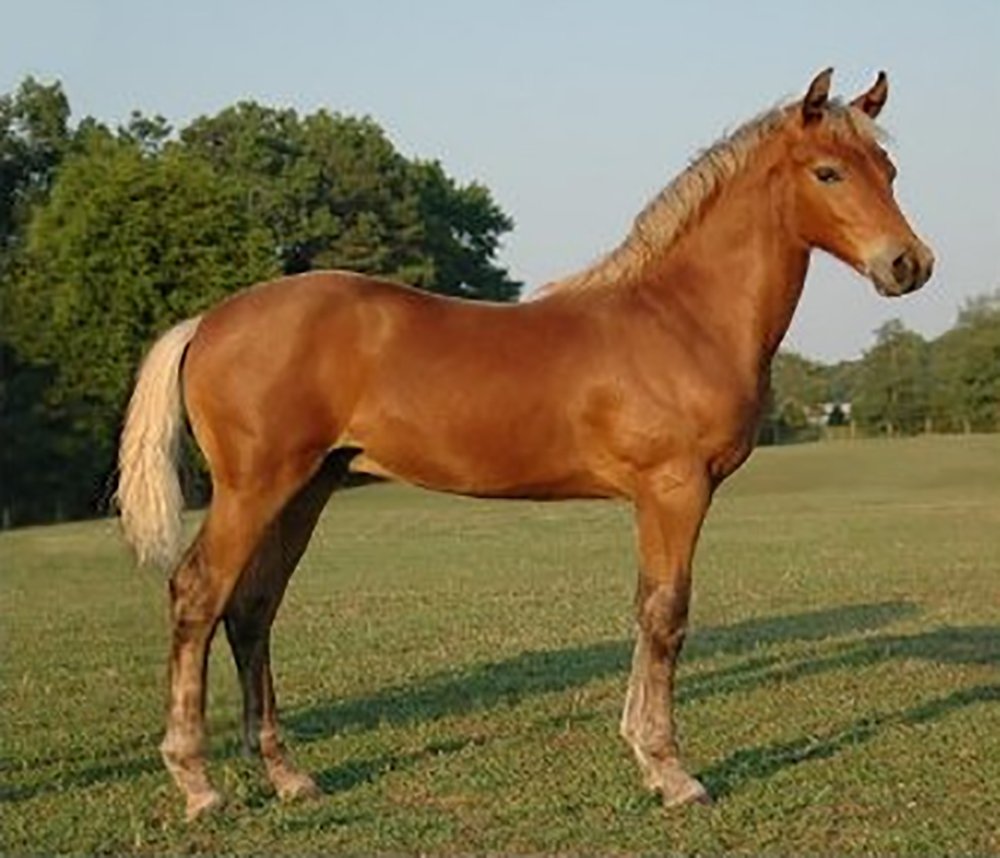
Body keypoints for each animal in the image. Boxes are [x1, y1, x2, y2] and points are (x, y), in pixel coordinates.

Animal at [117, 68, 934, 821]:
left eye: (890, 172)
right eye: (828, 172)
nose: (909, 265)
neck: (682, 317)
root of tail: (208, 321)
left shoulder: (656, 499)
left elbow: (644, 609)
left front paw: (644, 755)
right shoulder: (674, 490)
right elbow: (666, 614)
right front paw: (673, 773)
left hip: (306, 489)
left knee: (253, 609)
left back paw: (288, 776)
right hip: (256, 487)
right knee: (199, 594)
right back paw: (199, 784)